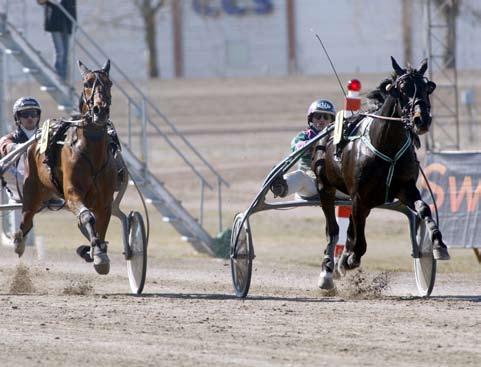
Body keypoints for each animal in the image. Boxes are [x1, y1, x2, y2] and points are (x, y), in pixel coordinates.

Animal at [12, 59, 116, 276]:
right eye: (87, 83)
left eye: (109, 83)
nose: (100, 110)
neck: (91, 151)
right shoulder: (72, 193)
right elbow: (87, 217)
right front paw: (97, 253)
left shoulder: (104, 201)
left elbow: (101, 225)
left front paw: (95, 251)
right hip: (32, 192)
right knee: (26, 220)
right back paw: (19, 242)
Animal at [314, 57, 448, 292]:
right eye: (402, 88)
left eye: (427, 88)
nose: (421, 120)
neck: (386, 145)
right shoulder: (359, 196)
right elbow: (359, 242)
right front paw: (350, 259)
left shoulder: (405, 188)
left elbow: (424, 208)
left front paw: (438, 243)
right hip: (325, 188)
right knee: (333, 229)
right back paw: (330, 267)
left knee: (351, 226)